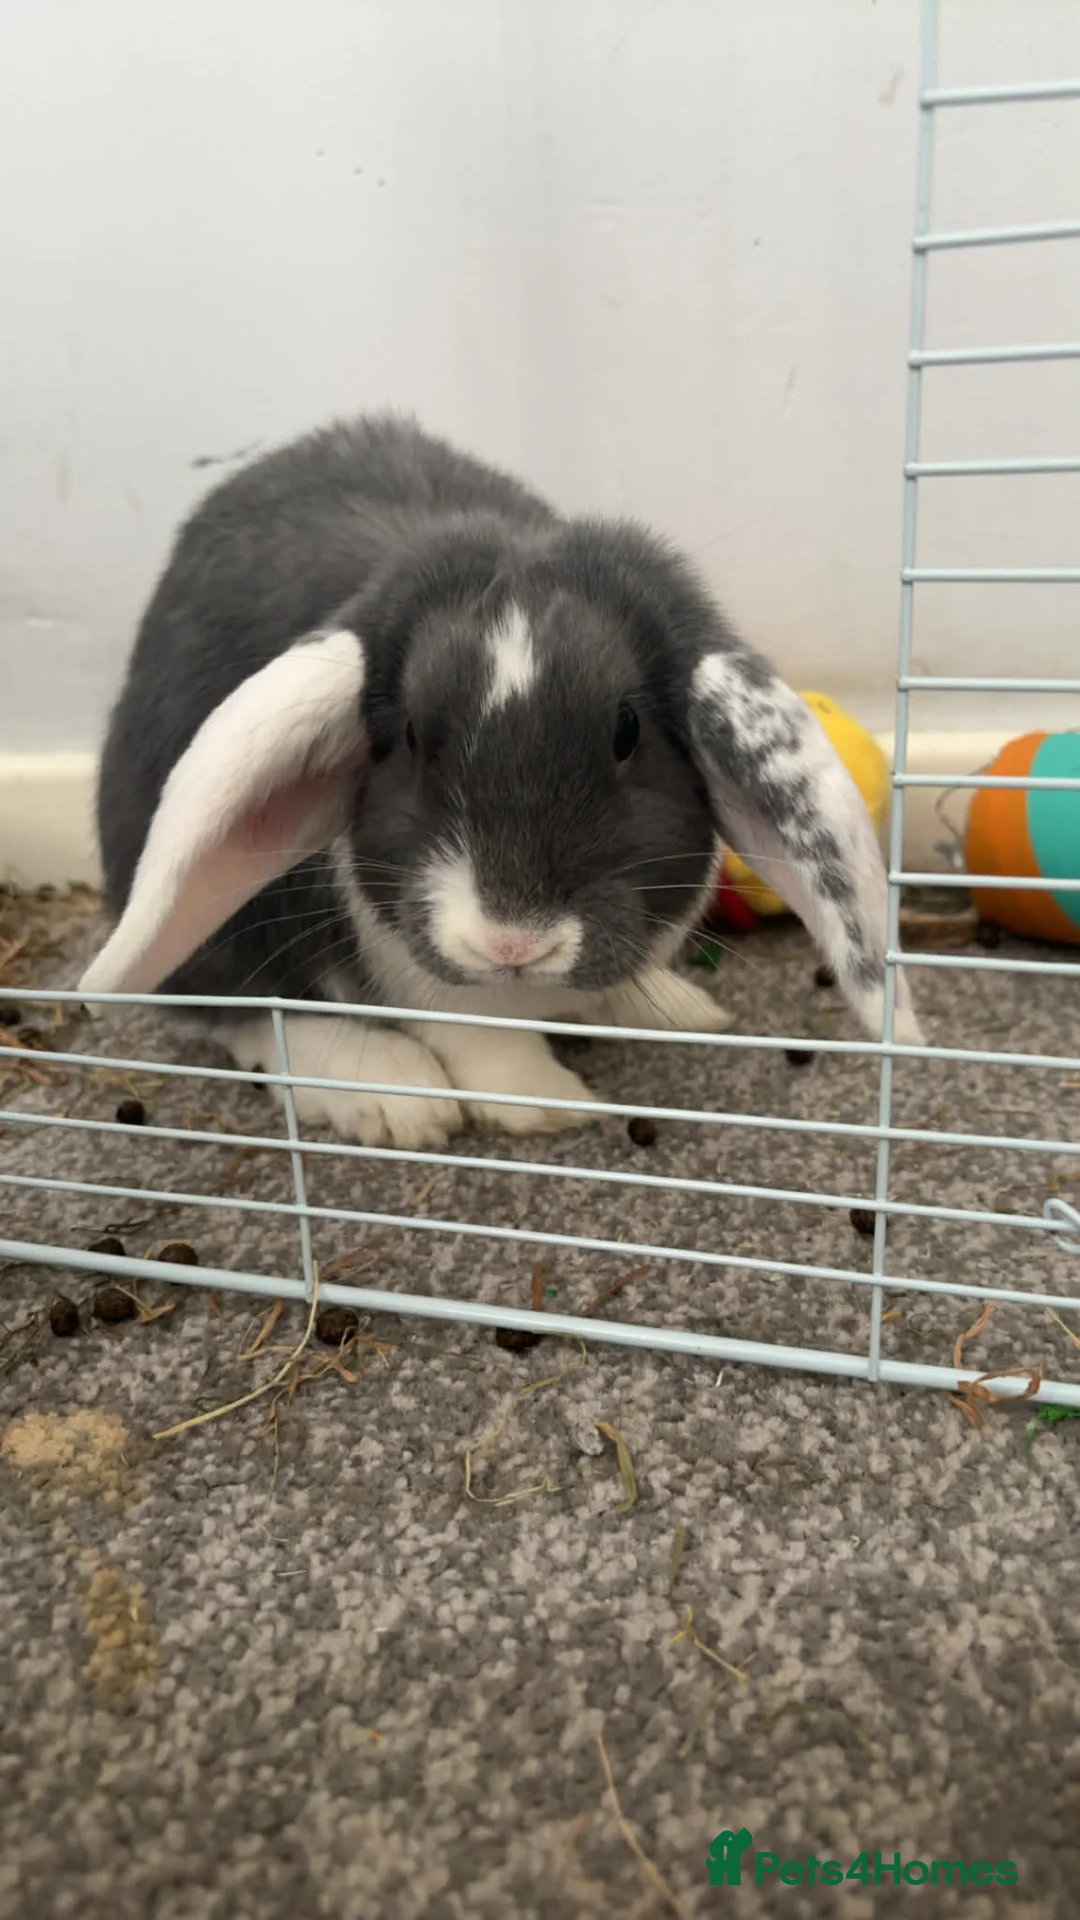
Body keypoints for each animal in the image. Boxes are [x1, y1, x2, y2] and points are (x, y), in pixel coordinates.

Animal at [80, 412, 921, 1148]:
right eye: (411, 737)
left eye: (627, 731)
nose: (513, 941)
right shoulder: (422, 975)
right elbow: (480, 1041)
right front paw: (549, 1105)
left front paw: (669, 1011)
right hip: (217, 921)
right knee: (235, 1009)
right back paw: (393, 1097)